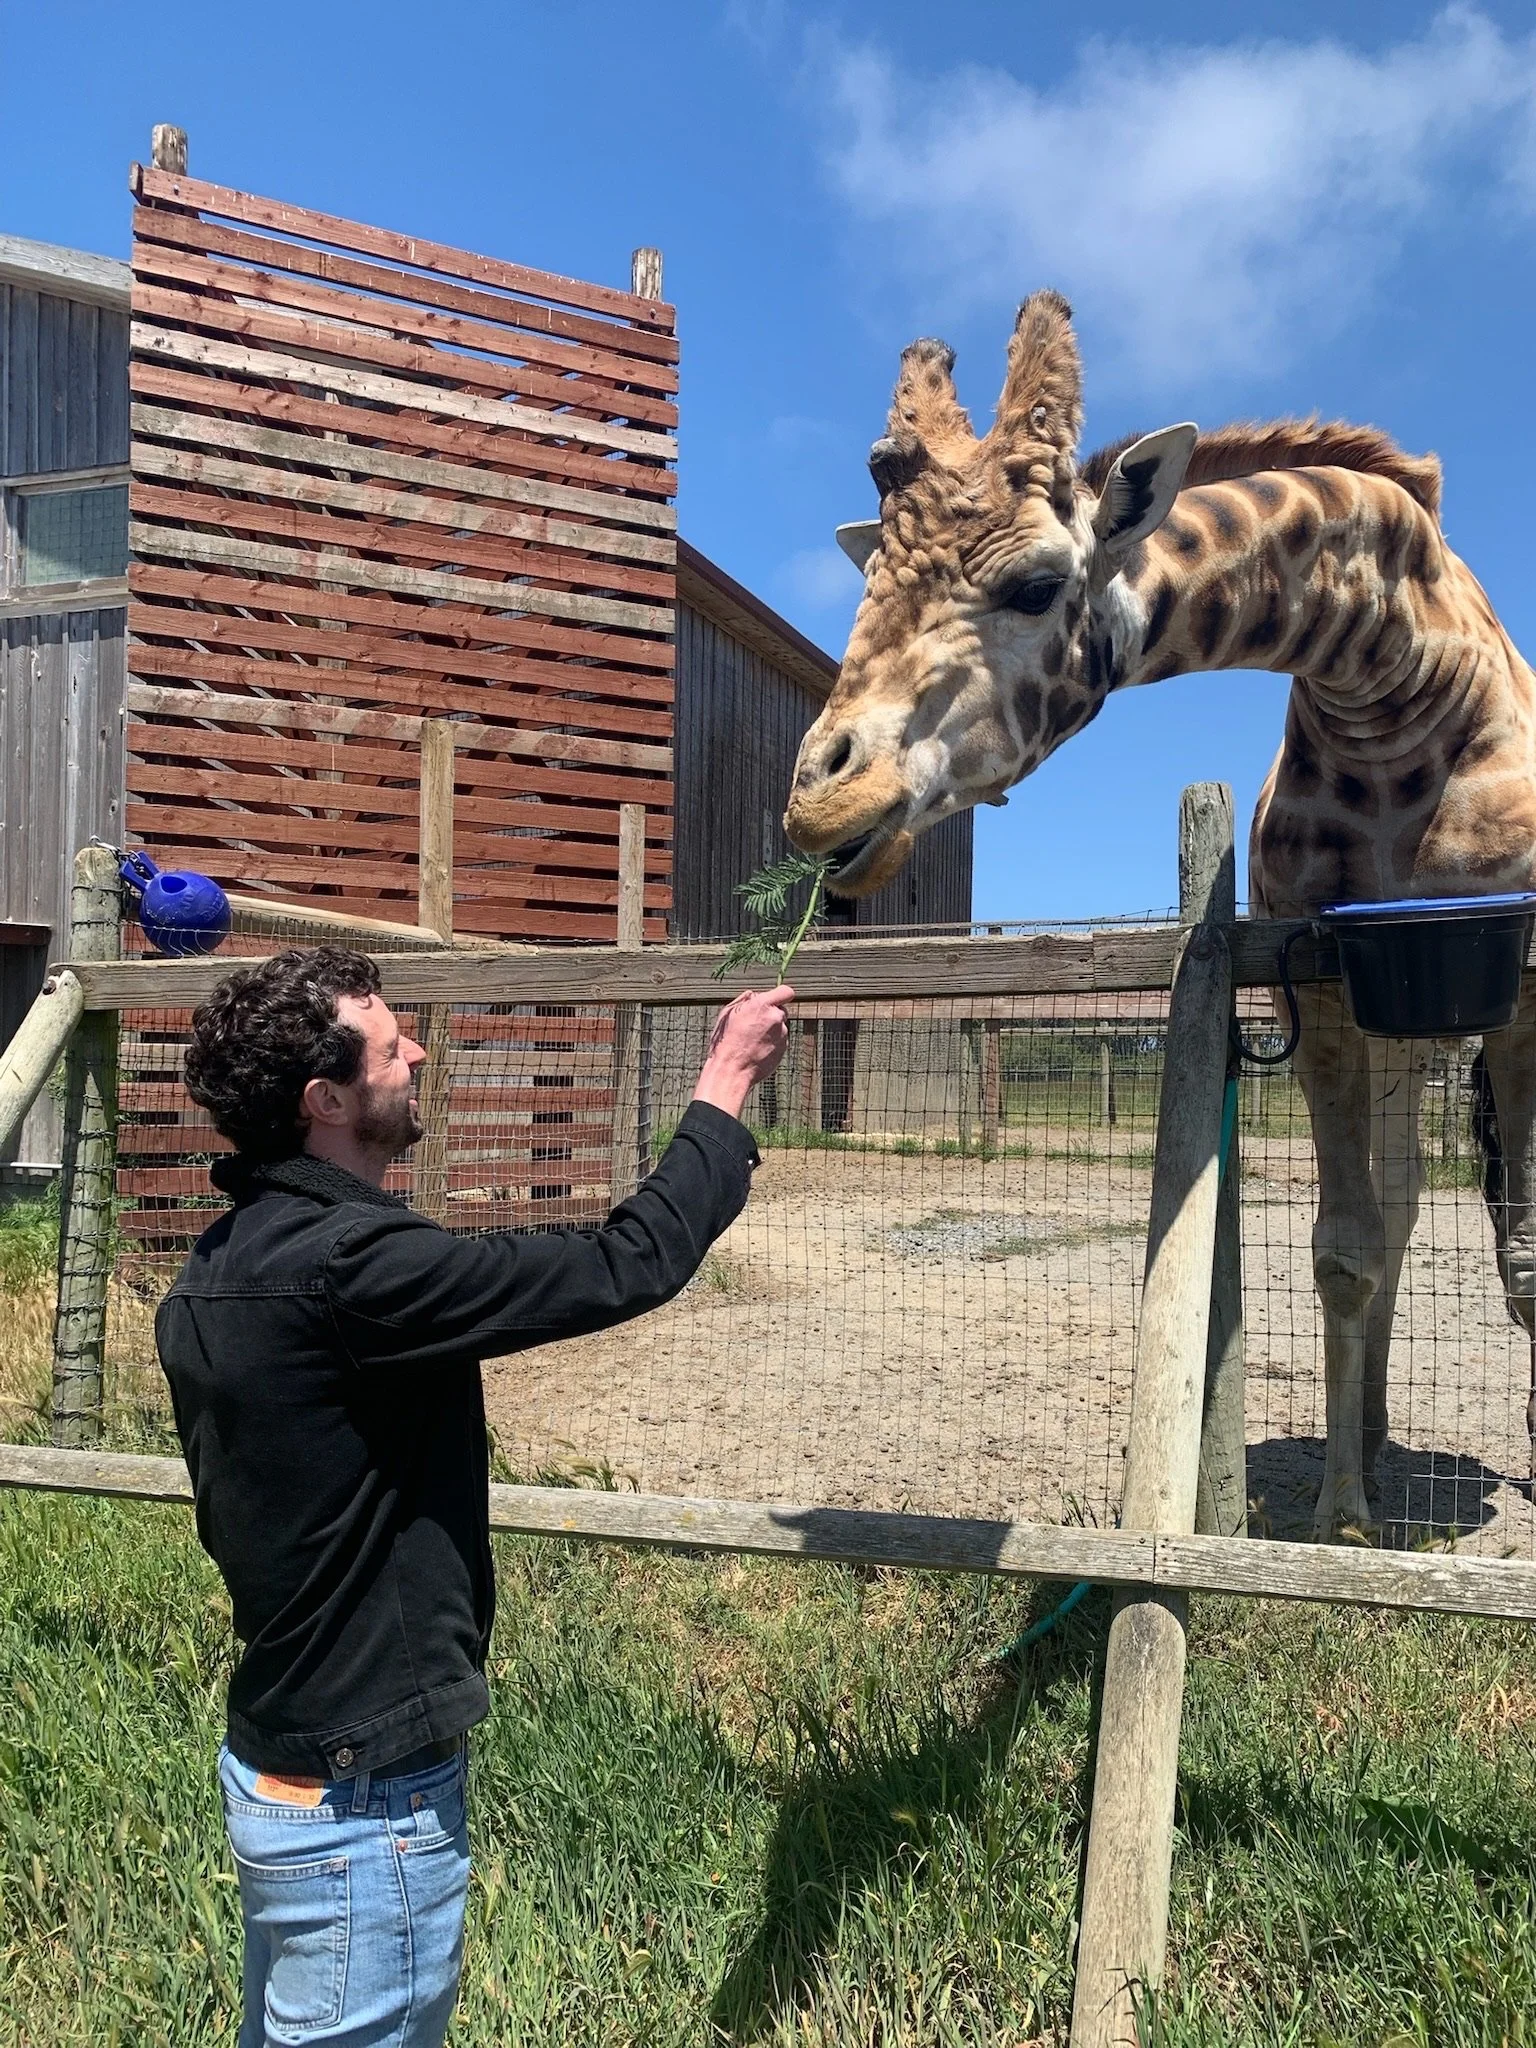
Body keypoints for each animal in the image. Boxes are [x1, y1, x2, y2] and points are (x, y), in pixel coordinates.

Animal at [784, 289, 1536, 1541]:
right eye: (868, 581)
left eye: (1037, 584)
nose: (819, 797)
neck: (1396, 683)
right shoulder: (1326, 985)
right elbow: (1345, 1247)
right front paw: (1341, 1516)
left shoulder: (1521, 993)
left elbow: (1523, 1253)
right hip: (1396, 1040)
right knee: (1399, 1210)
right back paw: (1379, 1435)